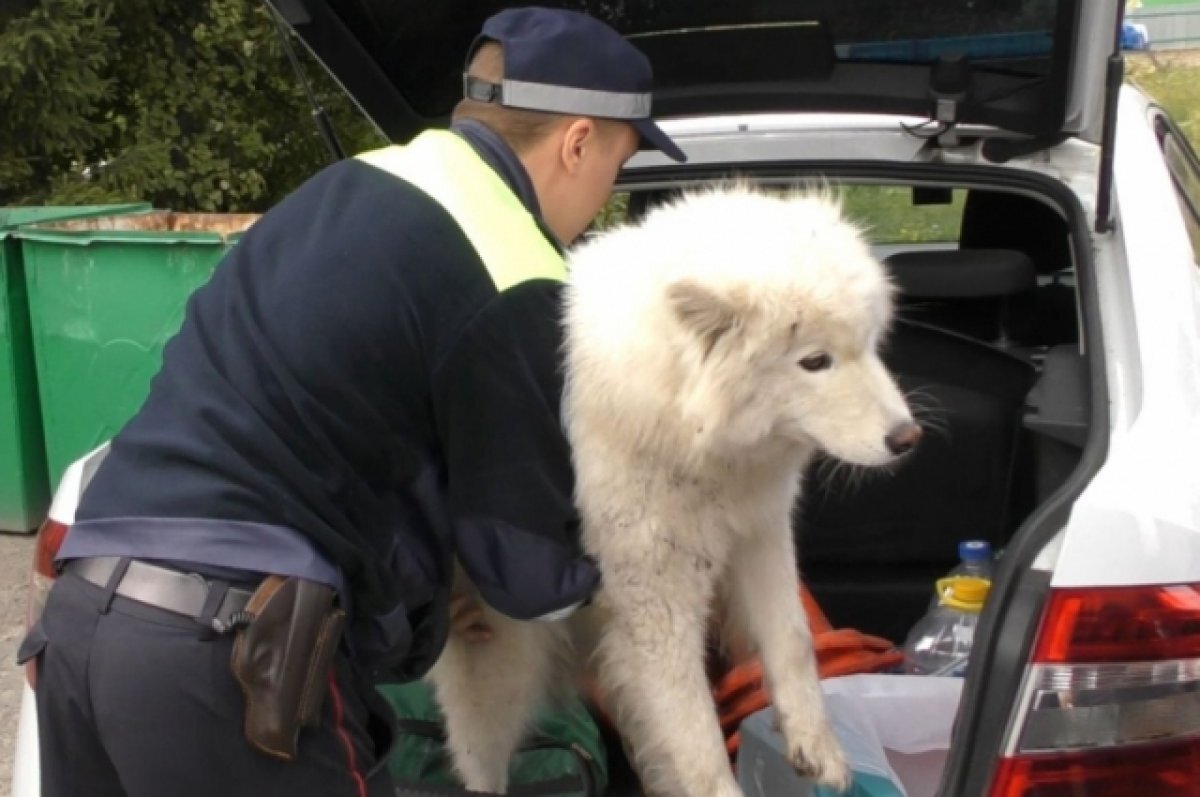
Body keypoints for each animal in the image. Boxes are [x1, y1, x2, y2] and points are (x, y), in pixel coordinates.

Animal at [427, 187, 921, 797]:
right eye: (814, 361)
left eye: (870, 345)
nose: (908, 437)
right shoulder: (655, 604)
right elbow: (696, 737)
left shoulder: (760, 534)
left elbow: (792, 642)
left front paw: (817, 748)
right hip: (500, 663)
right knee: (482, 760)